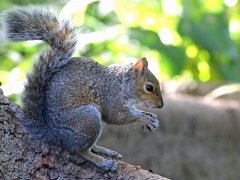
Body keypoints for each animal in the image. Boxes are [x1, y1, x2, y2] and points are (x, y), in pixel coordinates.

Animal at [1, 5, 163, 172]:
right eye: (149, 87)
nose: (160, 105)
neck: (121, 84)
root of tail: (55, 136)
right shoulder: (111, 99)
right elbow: (118, 117)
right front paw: (143, 118)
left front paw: (149, 116)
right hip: (87, 118)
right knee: (80, 150)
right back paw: (102, 161)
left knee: (89, 146)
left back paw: (103, 150)